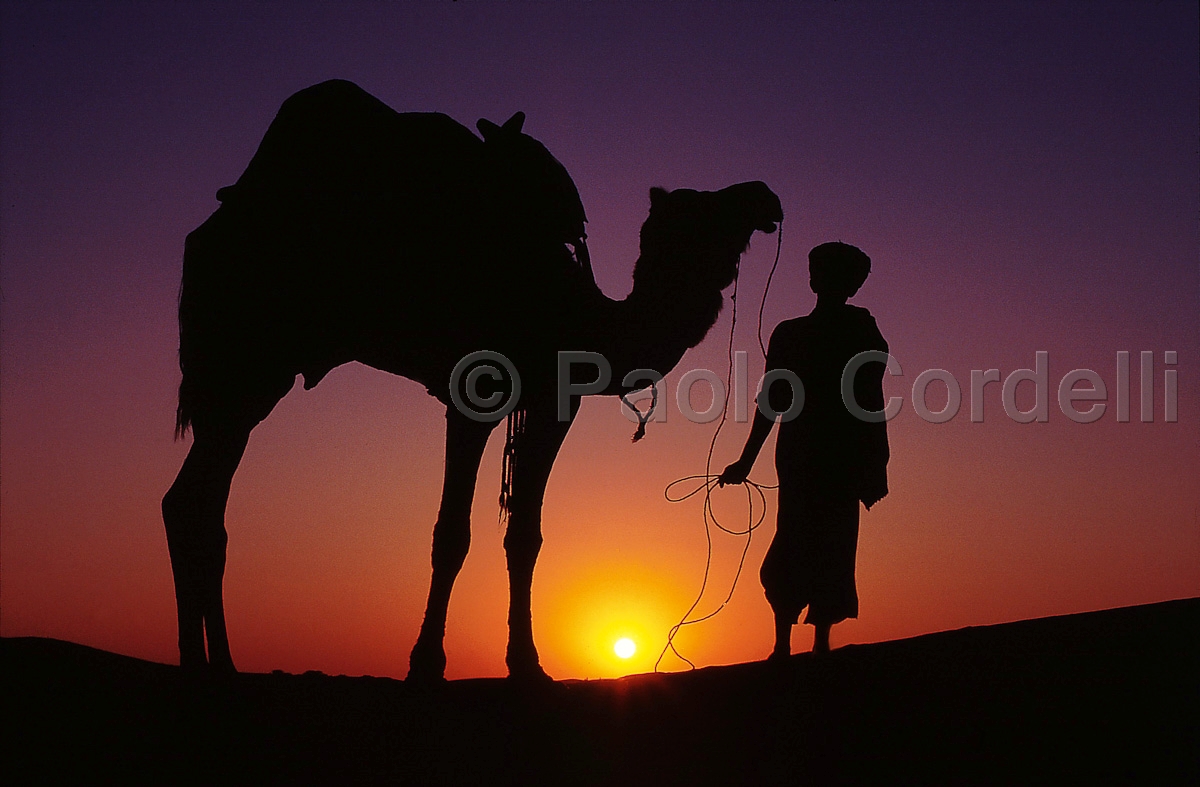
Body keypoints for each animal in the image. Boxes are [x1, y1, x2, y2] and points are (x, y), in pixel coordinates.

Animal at [164, 79, 782, 681]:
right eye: (704, 208)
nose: (764, 194)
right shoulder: (475, 393)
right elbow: (451, 534)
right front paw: (425, 664)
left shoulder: (553, 399)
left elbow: (525, 534)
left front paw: (527, 664)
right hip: (246, 363)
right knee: (192, 501)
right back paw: (201, 665)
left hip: (251, 379)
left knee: (198, 504)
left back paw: (218, 664)